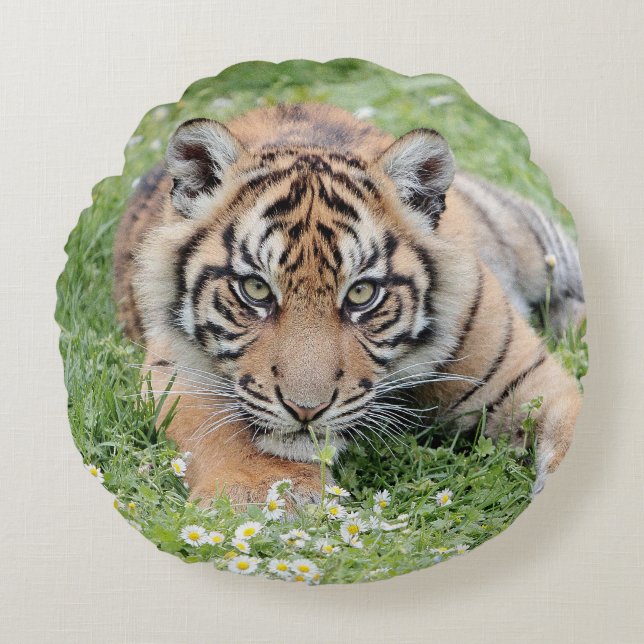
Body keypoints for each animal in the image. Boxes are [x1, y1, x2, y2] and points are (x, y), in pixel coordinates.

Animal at [113, 103, 584, 506]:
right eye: (256, 290)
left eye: (361, 294)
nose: (306, 410)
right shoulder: (174, 367)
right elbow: (216, 430)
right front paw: (264, 492)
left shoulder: (526, 375)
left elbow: (569, 424)